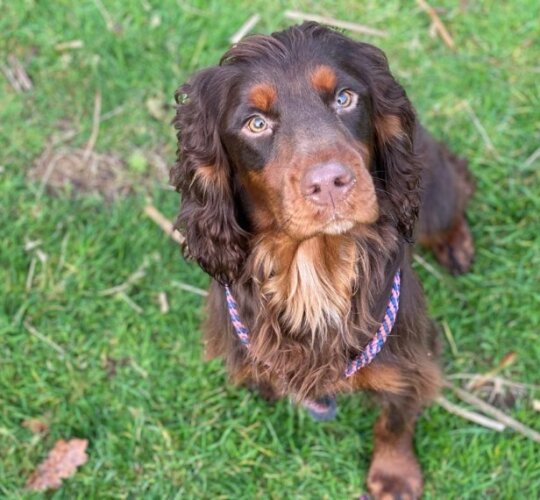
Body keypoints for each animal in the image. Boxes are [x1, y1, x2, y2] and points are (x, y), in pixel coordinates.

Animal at [171, 21, 474, 498]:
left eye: (345, 98)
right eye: (256, 123)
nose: (331, 183)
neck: (316, 265)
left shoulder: (410, 359)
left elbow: (395, 419)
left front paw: (394, 474)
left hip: (433, 192)